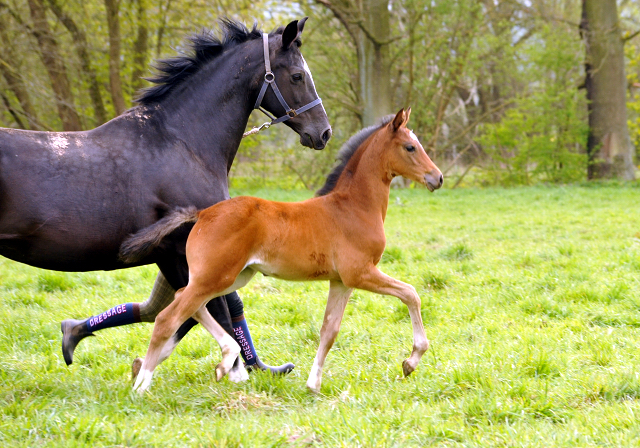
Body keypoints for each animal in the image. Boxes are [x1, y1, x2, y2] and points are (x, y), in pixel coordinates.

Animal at [127, 110, 442, 394]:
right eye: (410, 146)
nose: (437, 178)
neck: (353, 207)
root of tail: (203, 214)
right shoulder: (360, 273)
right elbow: (411, 293)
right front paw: (411, 361)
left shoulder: (340, 281)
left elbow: (329, 330)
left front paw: (313, 384)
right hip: (215, 277)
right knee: (168, 318)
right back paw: (143, 384)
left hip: (230, 277)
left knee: (188, 302)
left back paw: (224, 359)